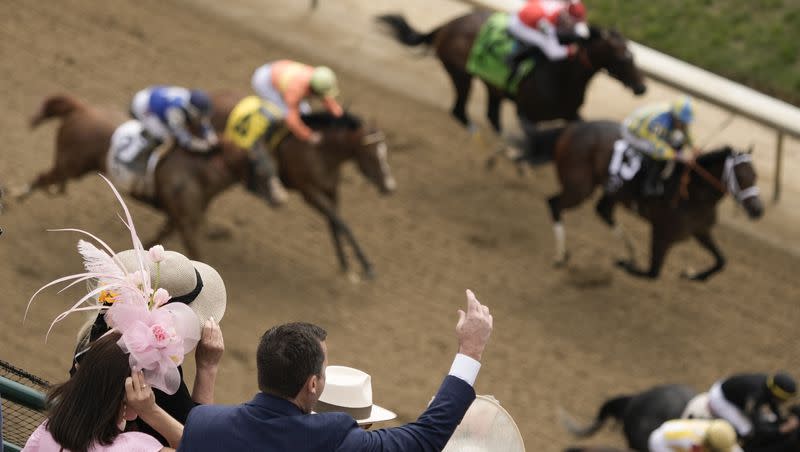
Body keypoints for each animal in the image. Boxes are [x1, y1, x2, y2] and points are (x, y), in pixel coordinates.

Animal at [14, 93, 272, 260]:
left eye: (272, 167)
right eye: (262, 169)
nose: (278, 198)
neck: (199, 172)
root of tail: (81, 108)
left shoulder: (176, 217)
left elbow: (159, 239)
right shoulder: (186, 222)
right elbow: (194, 253)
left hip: (73, 166)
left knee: (50, 180)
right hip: (70, 165)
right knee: (43, 178)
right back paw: (15, 197)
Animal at [211, 91, 396, 278]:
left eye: (385, 151)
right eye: (371, 155)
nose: (390, 186)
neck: (320, 152)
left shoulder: (331, 190)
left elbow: (335, 223)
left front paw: (345, 264)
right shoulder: (309, 193)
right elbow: (342, 223)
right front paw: (366, 265)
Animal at [378, 10, 648, 134]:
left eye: (634, 55)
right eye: (624, 57)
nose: (641, 87)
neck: (561, 75)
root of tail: (449, 23)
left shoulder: (571, 113)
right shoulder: (527, 113)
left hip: (492, 86)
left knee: (491, 114)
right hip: (461, 75)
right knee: (459, 110)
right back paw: (472, 128)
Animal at [548, 121, 764, 282]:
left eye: (755, 176)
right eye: (741, 177)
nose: (758, 210)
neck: (692, 195)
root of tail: (572, 128)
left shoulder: (700, 230)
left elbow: (721, 261)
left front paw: (693, 275)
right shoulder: (662, 233)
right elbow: (652, 272)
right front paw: (624, 264)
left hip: (611, 190)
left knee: (603, 211)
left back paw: (631, 250)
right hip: (580, 188)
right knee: (554, 203)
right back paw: (560, 256)